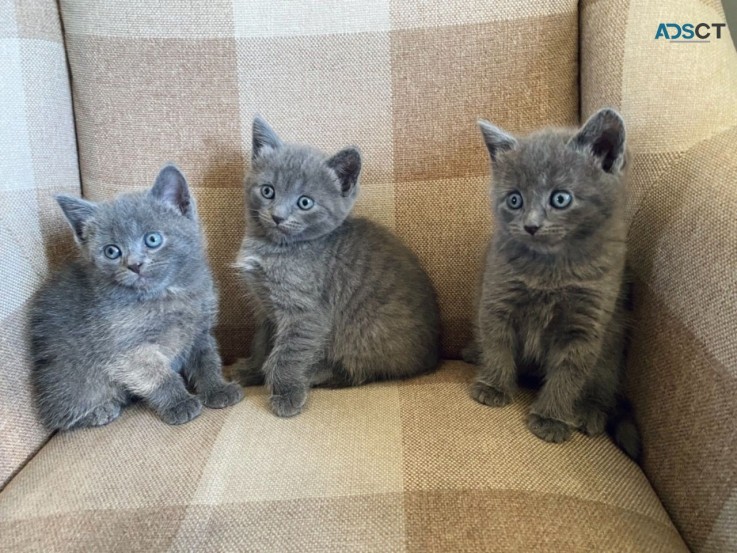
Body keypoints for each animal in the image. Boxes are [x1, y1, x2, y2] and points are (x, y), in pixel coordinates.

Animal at [30, 164, 243, 432]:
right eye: (112, 251)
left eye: (152, 239)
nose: (134, 264)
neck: (165, 296)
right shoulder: (126, 347)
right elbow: (156, 375)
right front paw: (179, 403)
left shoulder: (199, 330)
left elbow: (207, 360)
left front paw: (217, 389)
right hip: (69, 372)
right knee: (61, 413)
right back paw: (99, 410)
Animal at [234, 117, 436, 418]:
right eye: (267, 191)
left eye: (305, 202)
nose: (278, 216)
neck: (277, 248)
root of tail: (435, 354)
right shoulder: (265, 309)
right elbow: (262, 342)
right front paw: (251, 369)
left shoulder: (306, 314)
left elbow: (287, 355)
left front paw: (285, 393)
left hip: (365, 336)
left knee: (359, 371)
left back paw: (313, 375)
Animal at [466, 110, 640, 460]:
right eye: (514, 199)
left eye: (560, 198)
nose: (531, 226)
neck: (550, 270)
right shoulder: (498, 296)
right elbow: (497, 343)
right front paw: (492, 386)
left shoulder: (587, 322)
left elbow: (569, 372)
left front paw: (552, 418)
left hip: (614, 346)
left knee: (602, 383)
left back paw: (589, 412)